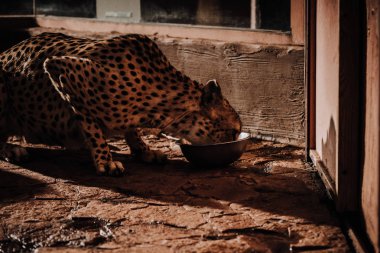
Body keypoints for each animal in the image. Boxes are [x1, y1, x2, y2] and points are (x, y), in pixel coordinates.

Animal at [0, 32, 242, 176]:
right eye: (234, 131)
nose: (235, 141)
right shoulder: (60, 68)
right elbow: (90, 124)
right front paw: (104, 159)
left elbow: (131, 129)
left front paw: (143, 150)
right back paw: (11, 149)